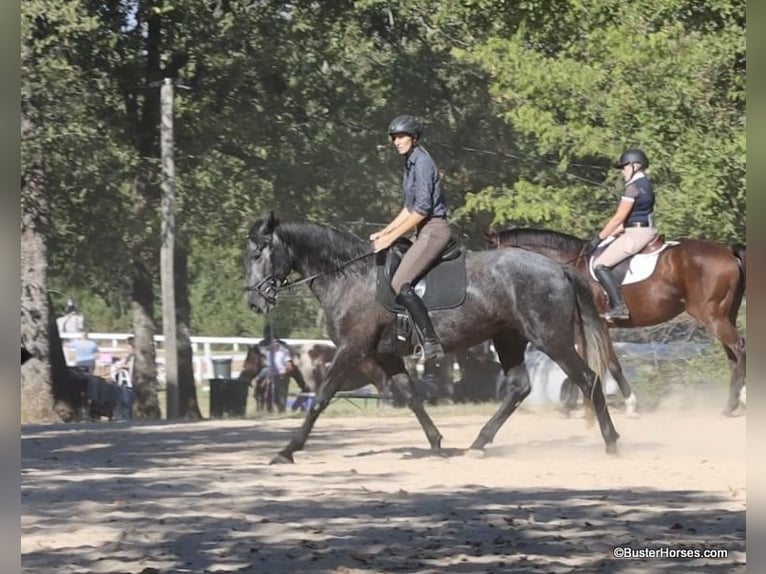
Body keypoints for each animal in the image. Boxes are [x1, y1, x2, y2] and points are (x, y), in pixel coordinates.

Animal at [246, 214, 624, 466]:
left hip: (551, 339)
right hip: (509, 338)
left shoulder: (351, 350)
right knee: (519, 387)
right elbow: (411, 396)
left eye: (258, 254)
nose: (254, 303)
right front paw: (437, 443)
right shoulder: (385, 355)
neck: (350, 276)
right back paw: (478, 443)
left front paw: (288, 450)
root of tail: (559, 269)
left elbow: (321, 397)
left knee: (588, 379)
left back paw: (611, 442)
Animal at [488, 227, 748, 416]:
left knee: (738, 347)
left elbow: (607, 365)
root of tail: (728, 250)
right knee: (732, 355)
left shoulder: (598, 325)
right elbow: (585, 362)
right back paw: (738, 400)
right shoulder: (585, 328)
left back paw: (732, 405)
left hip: (711, 316)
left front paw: (629, 404)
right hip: (723, 315)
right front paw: (573, 403)